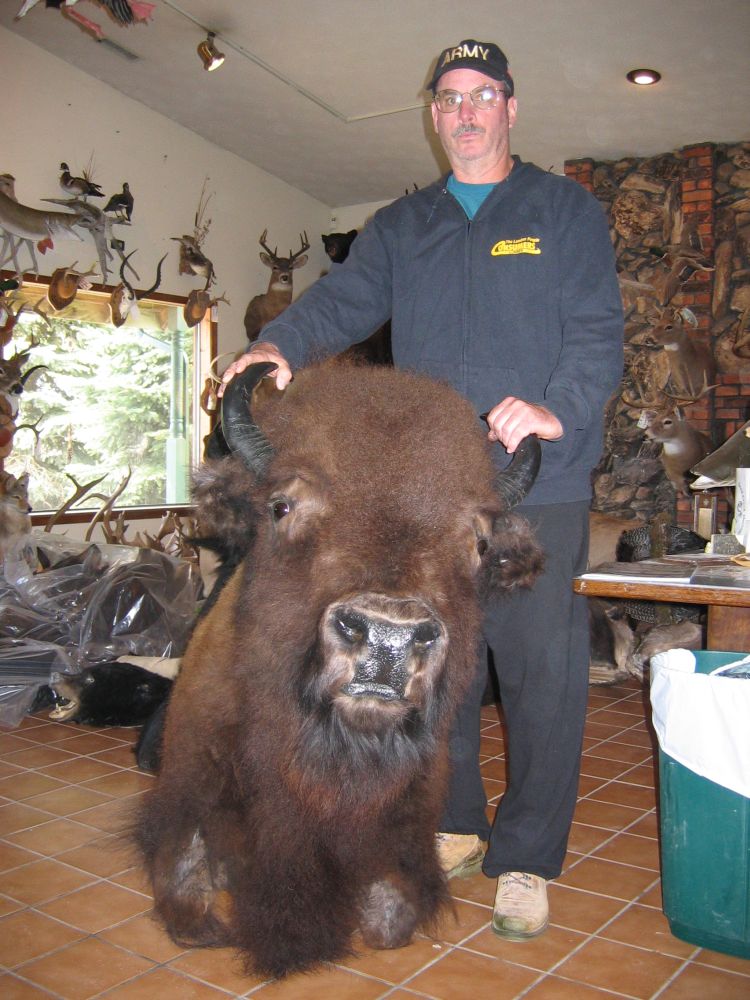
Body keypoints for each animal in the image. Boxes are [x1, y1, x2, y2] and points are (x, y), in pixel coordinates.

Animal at [134, 359, 544, 978]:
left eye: (478, 543)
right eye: (281, 506)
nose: (389, 638)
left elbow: (391, 918)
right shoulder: (188, 791)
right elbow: (187, 883)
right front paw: (206, 912)